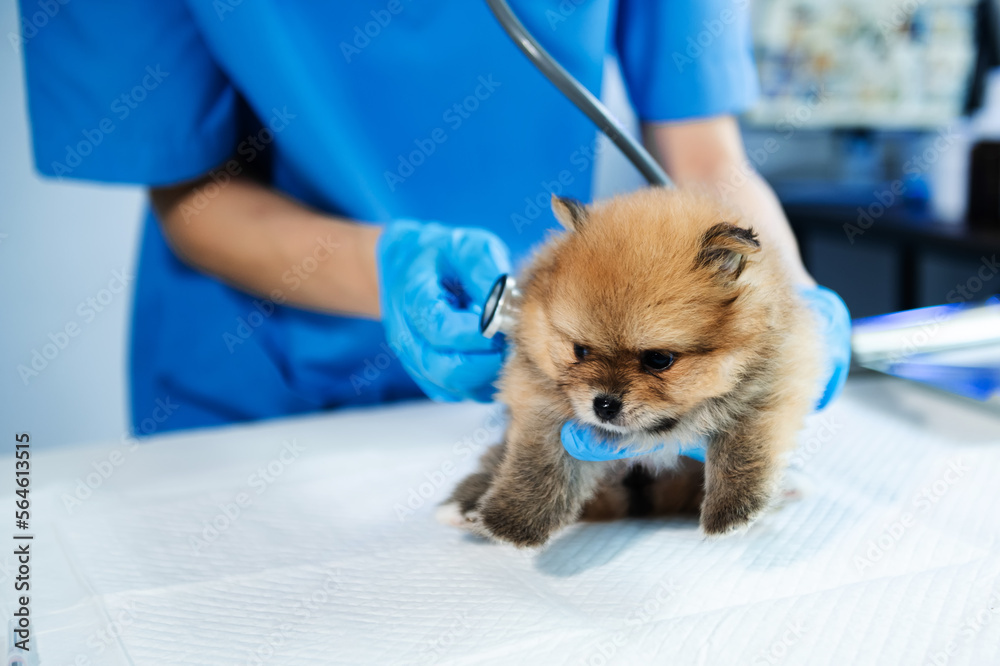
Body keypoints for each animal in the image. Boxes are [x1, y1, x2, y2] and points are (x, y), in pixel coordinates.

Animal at [438, 187, 820, 544]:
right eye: (580, 351)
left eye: (658, 360)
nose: (604, 405)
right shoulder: (541, 403)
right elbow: (540, 462)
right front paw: (512, 521)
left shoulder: (772, 379)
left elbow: (743, 444)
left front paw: (732, 512)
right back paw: (462, 506)